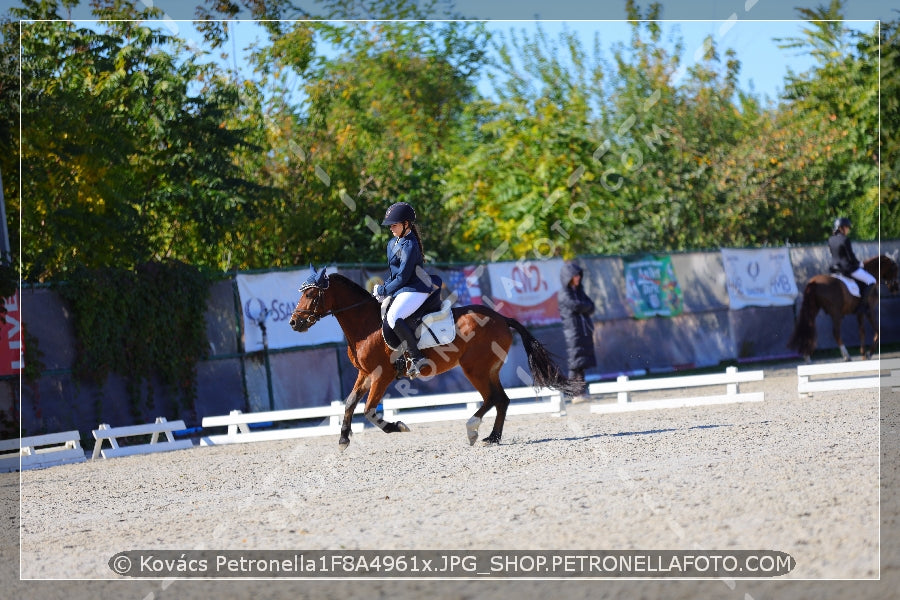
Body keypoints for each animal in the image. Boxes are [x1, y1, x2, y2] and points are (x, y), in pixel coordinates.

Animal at [290, 268, 584, 450]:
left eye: (311, 294)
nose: (294, 323)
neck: (366, 326)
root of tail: (501, 318)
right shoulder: (365, 373)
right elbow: (350, 403)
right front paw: (343, 439)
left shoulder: (382, 375)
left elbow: (370, 410)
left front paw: (398, 426)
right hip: (488, 369)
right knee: (501, 399)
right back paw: (492, 437)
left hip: (474, 368)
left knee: (492, 398)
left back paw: (473, 429)